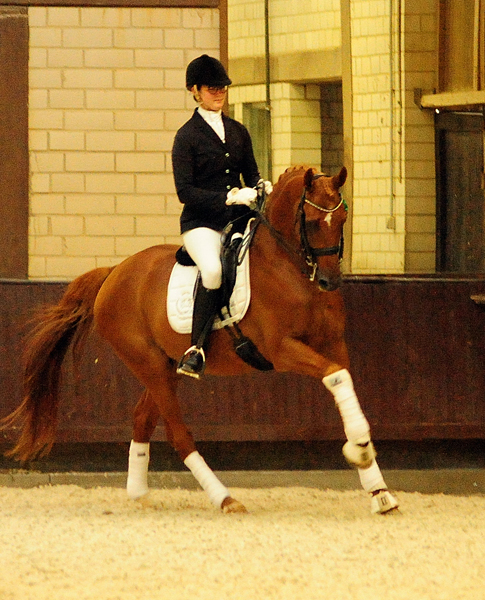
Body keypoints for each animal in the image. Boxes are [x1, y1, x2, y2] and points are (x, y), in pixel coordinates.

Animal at [0, 165, 398, 516]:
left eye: (343, 218)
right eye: (313, 221)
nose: (330, 281)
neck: (292, 269)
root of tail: (114, 272)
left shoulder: (334, 346)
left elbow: (345, 385)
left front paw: (378, 490)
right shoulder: (282, 349)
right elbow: (336, 377)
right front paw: (360, 449)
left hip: (164, 367)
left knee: (142, 418)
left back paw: (139, 493)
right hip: (148, 364)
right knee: (179, 435)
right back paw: (225, 499)